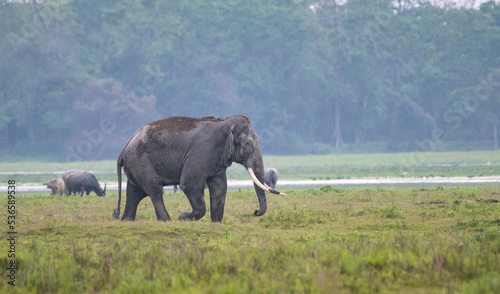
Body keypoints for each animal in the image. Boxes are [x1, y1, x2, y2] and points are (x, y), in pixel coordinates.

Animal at [113, 116, 286, 222]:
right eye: (247, 144)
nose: (256, 212)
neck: (225, 123)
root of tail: (124, 148)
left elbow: (220, 187)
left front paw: (216, 223)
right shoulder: (202, 152)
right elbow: (189, 184)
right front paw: (183, 216)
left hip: (135, 164)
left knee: (135, 193)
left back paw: (127, 221)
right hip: (140, 161)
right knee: (154, 188)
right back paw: (167, 220)